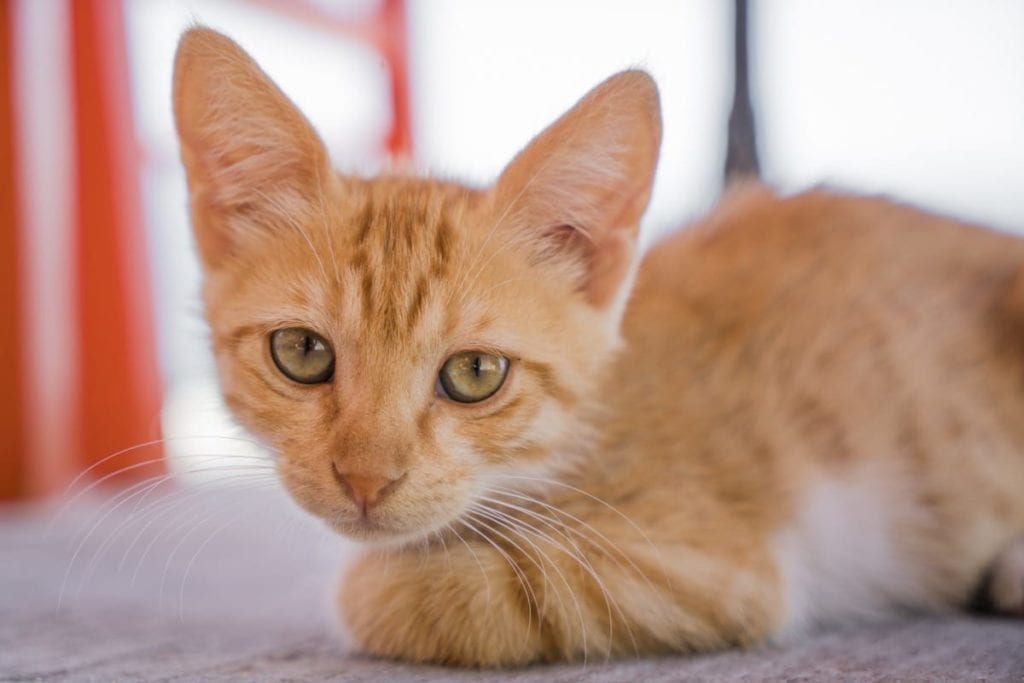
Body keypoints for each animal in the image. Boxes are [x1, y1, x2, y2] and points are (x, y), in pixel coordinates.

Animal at [169, 28, 1024, 667]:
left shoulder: (709, 566)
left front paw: (380, 582)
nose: (365, 479)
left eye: (475, 373)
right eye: (302, 352)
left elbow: (407, 593)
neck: (576, 439)